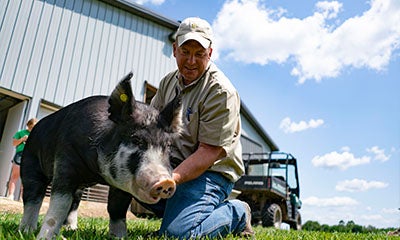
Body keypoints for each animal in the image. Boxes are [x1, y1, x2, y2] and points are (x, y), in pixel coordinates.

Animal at [18, 72, 181, 239]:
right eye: (136, 140)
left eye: (168, 145)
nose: (166, 181)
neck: (97, 173)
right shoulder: (65, 159)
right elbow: (60, 204)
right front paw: (44, 237)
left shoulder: (122, 185)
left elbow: (117, 209)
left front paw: (120, 237)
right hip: (29, 163)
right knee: (32, 196)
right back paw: (26, 230)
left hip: (78, 187)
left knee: (75, 202)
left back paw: (71, 229)